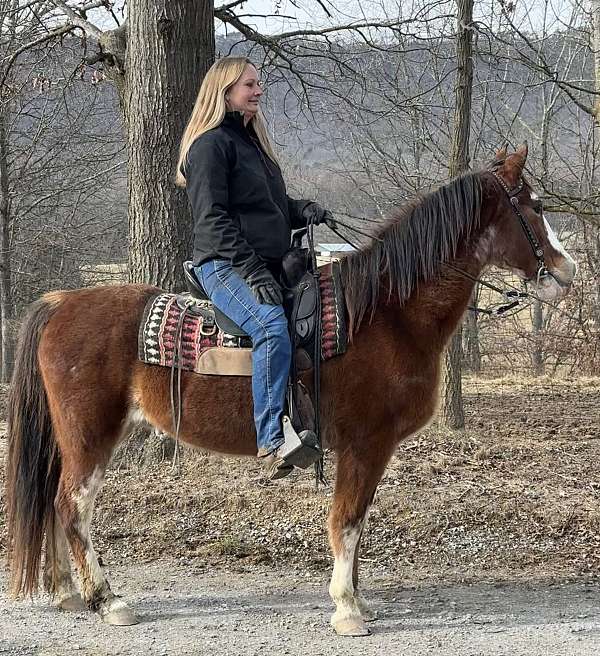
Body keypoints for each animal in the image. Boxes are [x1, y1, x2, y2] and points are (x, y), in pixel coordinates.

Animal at [4, 145, 576, 636]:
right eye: (534, 205)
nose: (567, 270)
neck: (387, 313)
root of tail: (61, 301)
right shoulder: (367, 443)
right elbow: (347, 519)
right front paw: (347, 609)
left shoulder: (364, 449)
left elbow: (357, 521)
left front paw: (358, 598)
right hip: (90, 436)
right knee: (73, 506)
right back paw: (106, 599)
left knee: (54, 502)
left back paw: (66, 592)